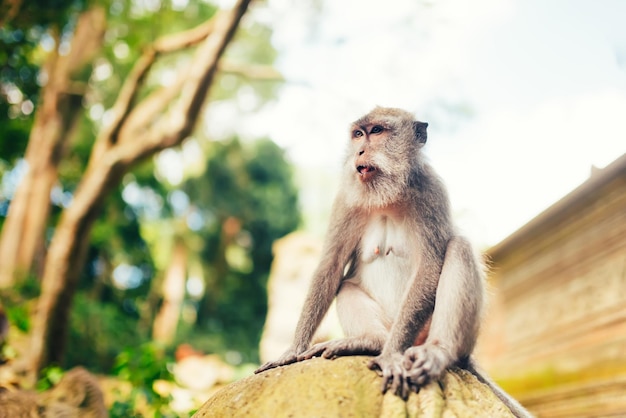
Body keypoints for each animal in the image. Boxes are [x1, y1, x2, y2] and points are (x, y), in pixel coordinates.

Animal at [256, 106, 528, 416]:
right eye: (358, 134)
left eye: (376, 131)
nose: (360, 151)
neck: (386, 197)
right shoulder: (346, 200)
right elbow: (331, 266)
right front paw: (292, 350)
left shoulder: (431, 191)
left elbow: (430, 266)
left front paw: (389, 358)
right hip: (387, 324)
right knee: (347, 286)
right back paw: (369, 341)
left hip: (437, 333)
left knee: (459, 248)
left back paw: (435, 350)